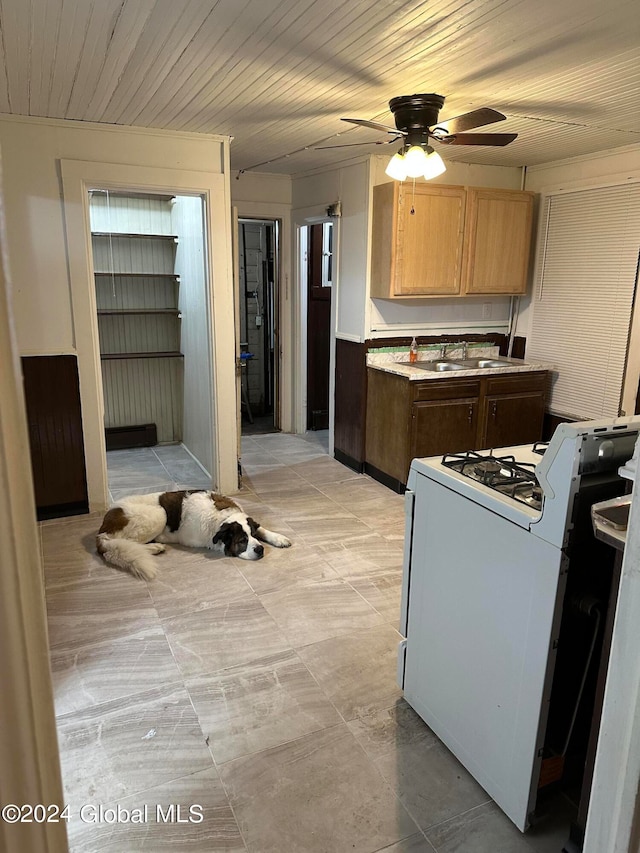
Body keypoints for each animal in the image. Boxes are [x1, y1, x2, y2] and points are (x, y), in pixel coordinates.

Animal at [95, 490, 292, 584]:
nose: (260, 549)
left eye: (252, 535)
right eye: (242, 541)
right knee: (121, 544)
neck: (221, 518)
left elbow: (263, 529)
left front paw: (279, 538)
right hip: (159, 514)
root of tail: (102, 528)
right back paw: (154, 547)